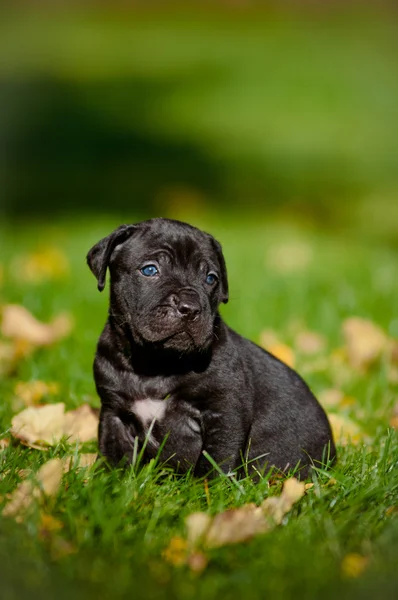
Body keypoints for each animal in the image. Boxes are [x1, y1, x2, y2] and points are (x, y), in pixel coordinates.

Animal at [88, 219, 336, 478]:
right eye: (149, 270)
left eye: (210, 278)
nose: (190, 306)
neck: (157, 364)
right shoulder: (114, 413)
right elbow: (113, 455)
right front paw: (107, 481)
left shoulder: (225, 412)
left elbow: (216, 459)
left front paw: (207, 487)